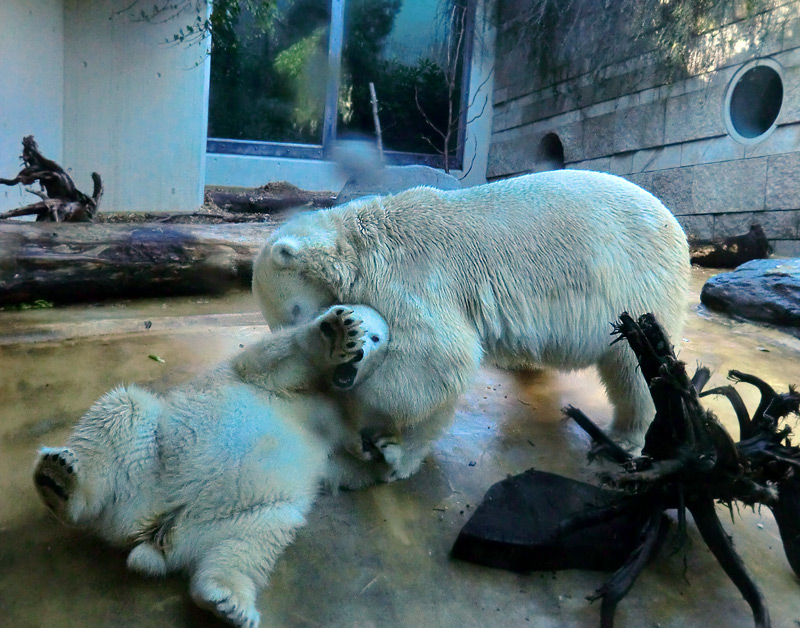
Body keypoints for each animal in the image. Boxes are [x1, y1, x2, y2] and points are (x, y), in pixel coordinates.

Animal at [32, 304, 390, 628]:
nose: (359, 353)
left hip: (242, 514)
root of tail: (161, 527)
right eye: (364, 330)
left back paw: (228, 600)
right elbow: (275, 360)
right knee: (123, 408)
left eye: (377, 337)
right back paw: (59, 481)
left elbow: (342, 468)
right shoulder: (263, 374)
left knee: (255, 541)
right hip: (146, 463)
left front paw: (379, 452)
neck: (325, 392)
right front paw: (337, 332)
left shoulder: (336, 429)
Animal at [253, 169, 692, 478]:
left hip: (636, 282)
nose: (316, 335)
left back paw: (622, 437)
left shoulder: (414, 277)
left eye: (293, 310)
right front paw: (401, 451)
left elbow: (438, 356)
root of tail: (676, 224)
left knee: (631, 367)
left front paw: (381, 439)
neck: (360, 244)